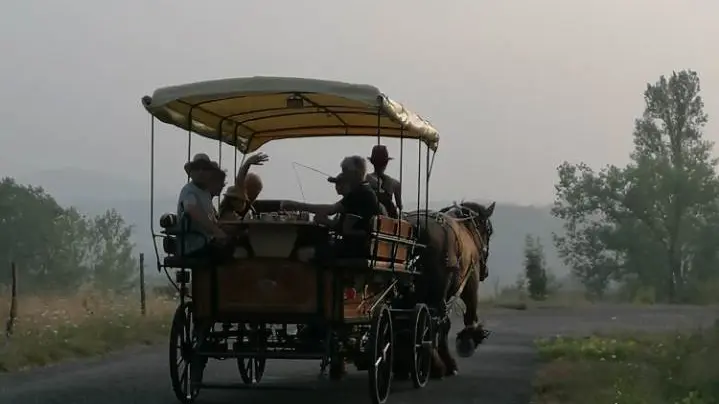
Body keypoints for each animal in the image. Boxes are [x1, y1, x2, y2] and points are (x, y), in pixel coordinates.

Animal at [404, 200, 496, 378]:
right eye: (489, 231)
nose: (485, 272)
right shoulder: (470, 279)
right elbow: (467, 313)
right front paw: (469, 338)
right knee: (431, 323)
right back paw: (436, 365)